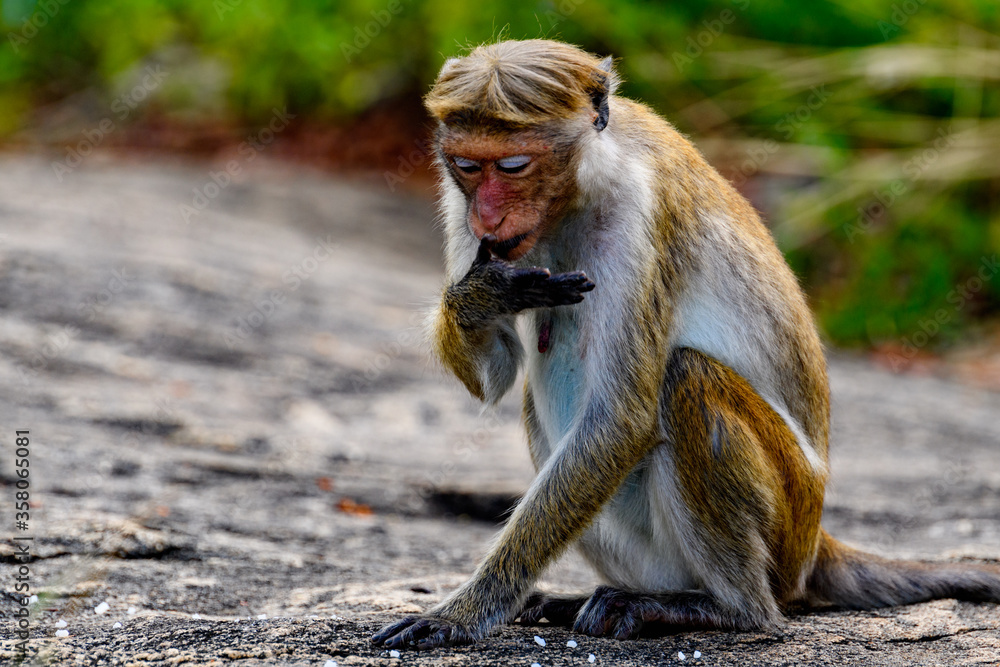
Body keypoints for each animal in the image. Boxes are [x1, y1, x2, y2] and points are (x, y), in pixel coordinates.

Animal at [372, 39, 1000, 650]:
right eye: (466, 168)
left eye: (512, 165)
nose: (487, 214)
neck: (584, 183)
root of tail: (816, 540)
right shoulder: (463, 213)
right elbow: (498, 375)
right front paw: (481, 295)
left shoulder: (639, 214)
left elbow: (621, 419)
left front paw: (465, 612)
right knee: (537, 395)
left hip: (786, 524)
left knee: (687, 379)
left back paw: (730, 610)